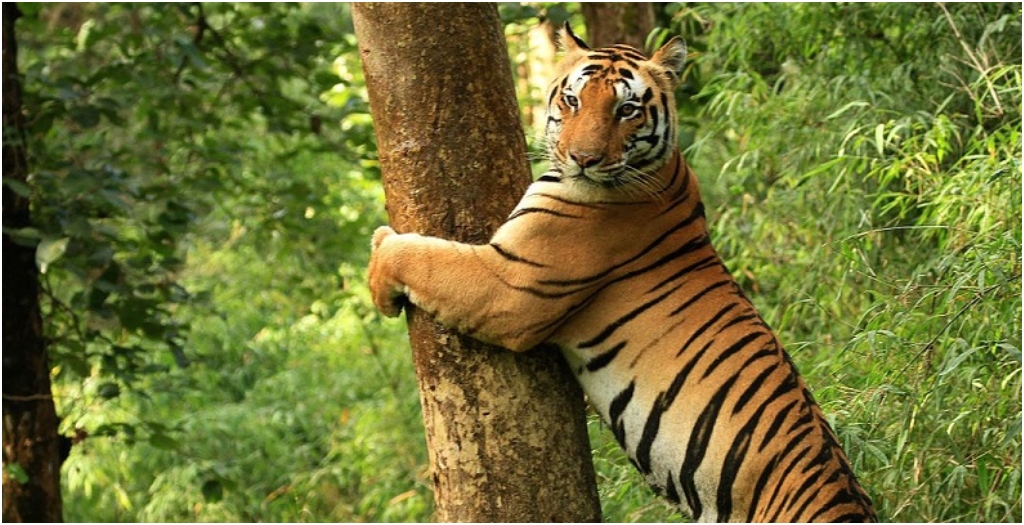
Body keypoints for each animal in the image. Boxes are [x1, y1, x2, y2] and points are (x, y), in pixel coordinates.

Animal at [367, 23, 877, 523]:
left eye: (626, 109)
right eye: (573, 100)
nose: (583, 158)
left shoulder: (509, 287)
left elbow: (424, 257)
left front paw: (378, 265)